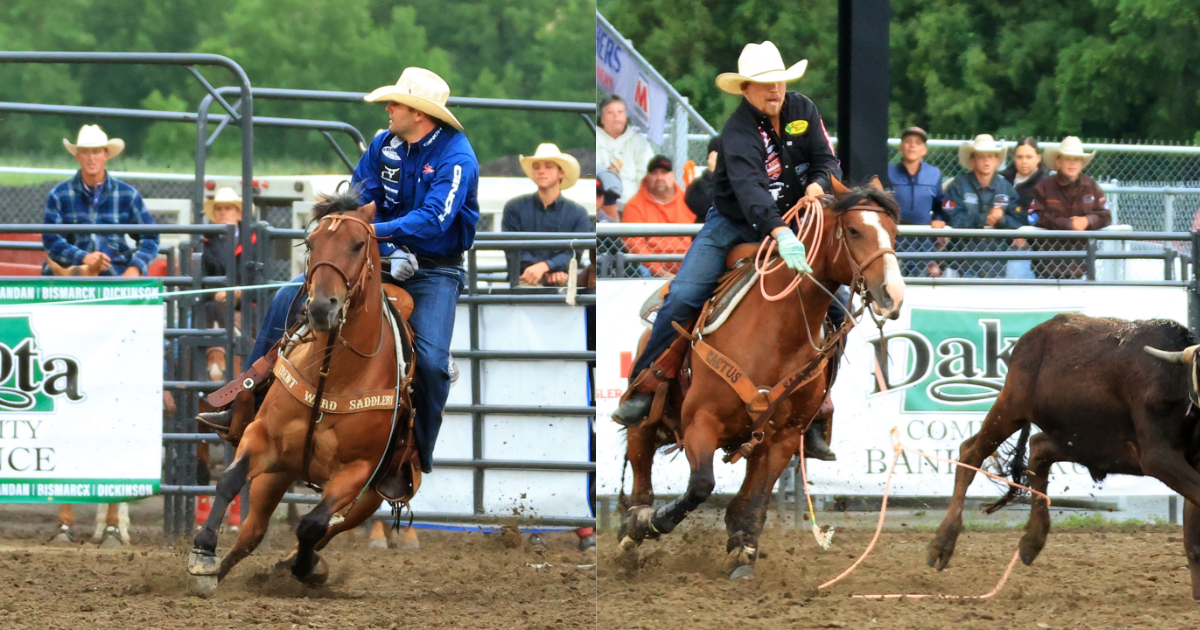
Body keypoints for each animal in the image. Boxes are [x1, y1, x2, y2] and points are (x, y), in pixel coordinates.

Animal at [624, 184, 902, 578]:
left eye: (894, 233)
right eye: (853, 231)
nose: (893, 294)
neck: (776, 334)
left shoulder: (783, 437)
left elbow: (755, 500)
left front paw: (744, 553)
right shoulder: (701, 421)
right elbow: (701, 485)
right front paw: (655, 522)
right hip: (648, 420)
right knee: (641, 473)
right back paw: (634, 528)